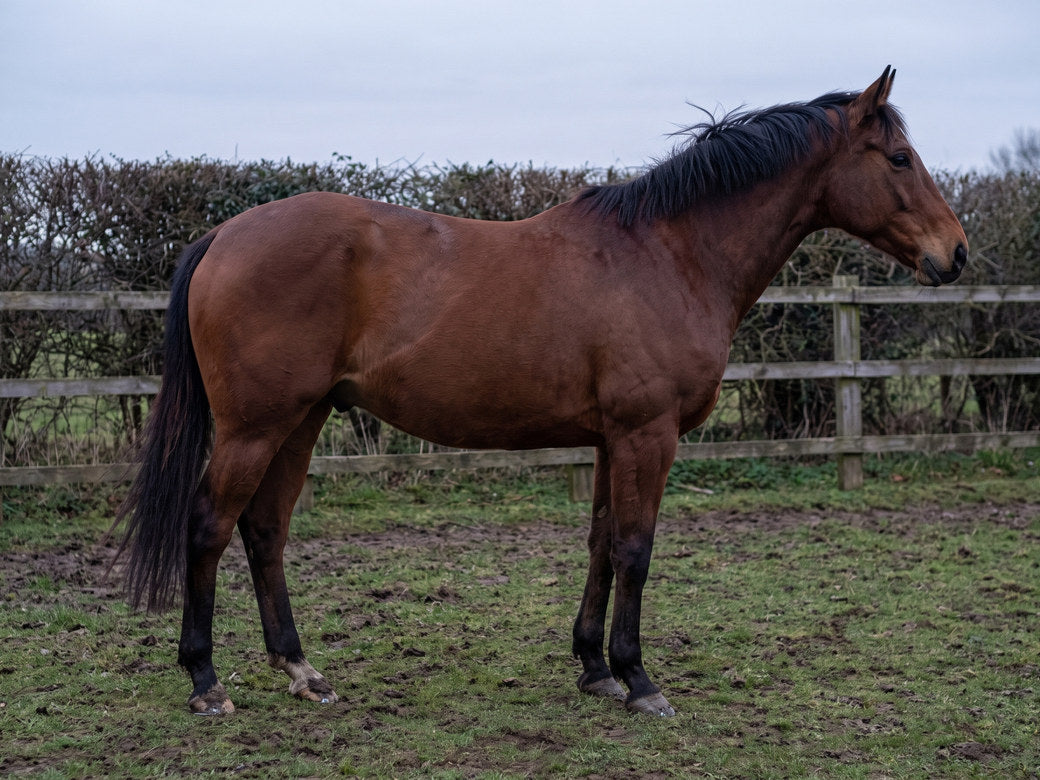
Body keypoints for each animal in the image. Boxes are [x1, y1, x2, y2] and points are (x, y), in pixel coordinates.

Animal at [117, 67, 967, 717]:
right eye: (898, 158)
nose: (955, 252)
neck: (669, 254)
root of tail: (224, 235)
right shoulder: (647, 434)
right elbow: (636, 549)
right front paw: (639, 679)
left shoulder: (611, 439)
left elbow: (600, 543)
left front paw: (594, 667)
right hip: (255, 426)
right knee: (209, 526)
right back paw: (205, 680)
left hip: (301, 419)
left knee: (264, 530)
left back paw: (301, 670)